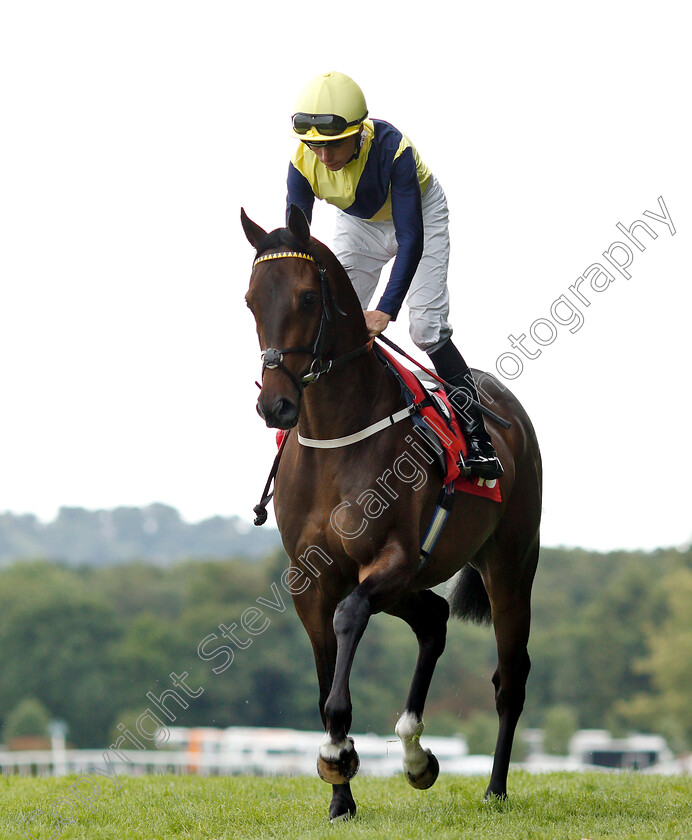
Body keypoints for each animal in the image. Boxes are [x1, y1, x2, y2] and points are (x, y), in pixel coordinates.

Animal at [242, 203, 540, 820]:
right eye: (252, 300)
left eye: (307, 297)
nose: (274, 405)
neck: (337, 434)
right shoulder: (311, 577)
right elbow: (325, 668)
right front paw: (340, 798)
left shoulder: (393, 558)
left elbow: (349, 618)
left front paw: (337, 752)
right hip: (418, 580)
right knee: (434, 618)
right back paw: (415, 755)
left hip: (509, 564)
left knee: (510, 678)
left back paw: (495, 787)